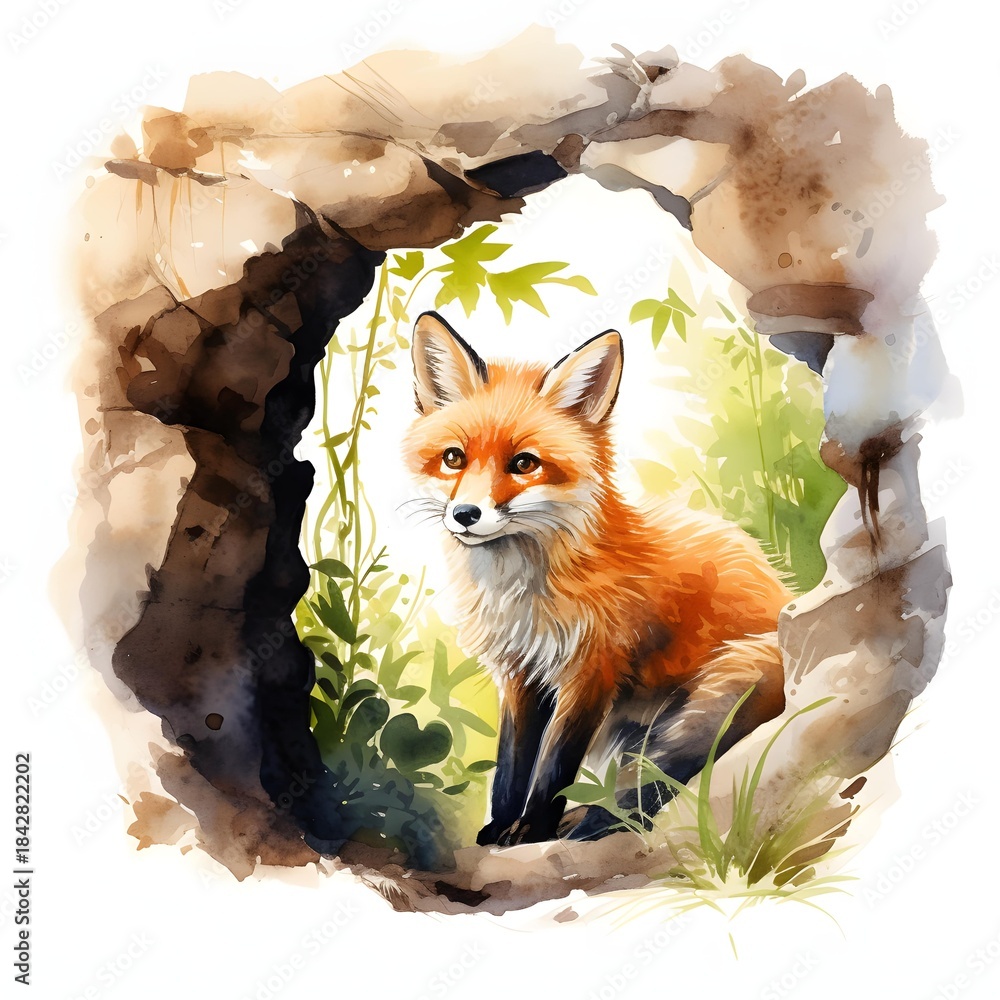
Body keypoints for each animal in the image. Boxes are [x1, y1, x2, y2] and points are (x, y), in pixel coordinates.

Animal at [402, 310, 790, 847]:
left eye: (524, 463)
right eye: (453, 458)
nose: (465, 515)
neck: (523, 591)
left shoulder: (593, 669)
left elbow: (553, 767)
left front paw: (531, 831)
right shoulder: (520, 672)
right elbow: (512, 764)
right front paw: (500, 826)